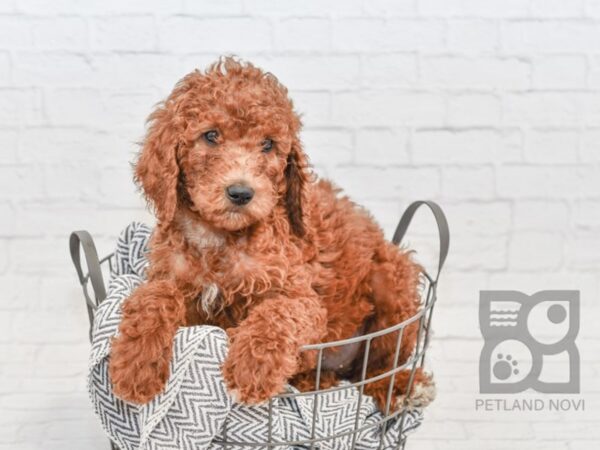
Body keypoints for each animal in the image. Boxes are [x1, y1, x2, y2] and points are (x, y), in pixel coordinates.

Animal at [109, 58, 432, 414]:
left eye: (268, 145)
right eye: (210, 135)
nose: (241, 193)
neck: (220, 237)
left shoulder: (303, 299)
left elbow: (275, 315)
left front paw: (251, 371)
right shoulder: (170, 277)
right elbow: (153, 297)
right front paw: (136, 366)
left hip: (392, 284)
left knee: (378, 366)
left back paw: (402, 388)